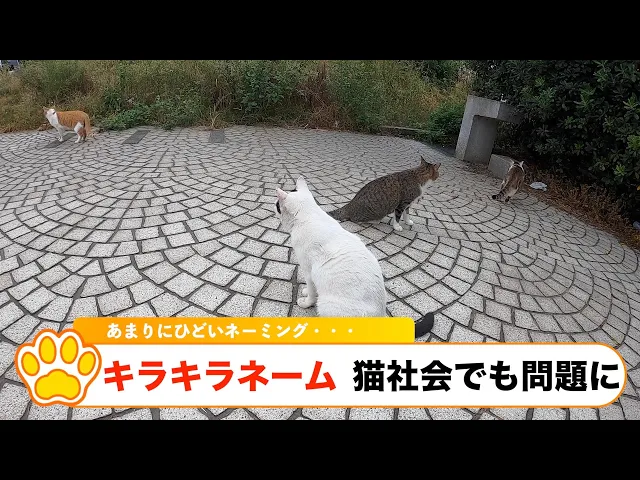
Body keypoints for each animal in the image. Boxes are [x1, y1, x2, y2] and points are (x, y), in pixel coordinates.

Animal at [275, 176, 434, 339]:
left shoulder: (309, 272)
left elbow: (312, 293)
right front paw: (306, 291)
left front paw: (306, 301)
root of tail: (380, 317)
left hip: (326, 305)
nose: (274, 210)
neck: (310, 216)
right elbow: (311, 289)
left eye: (277, 206)